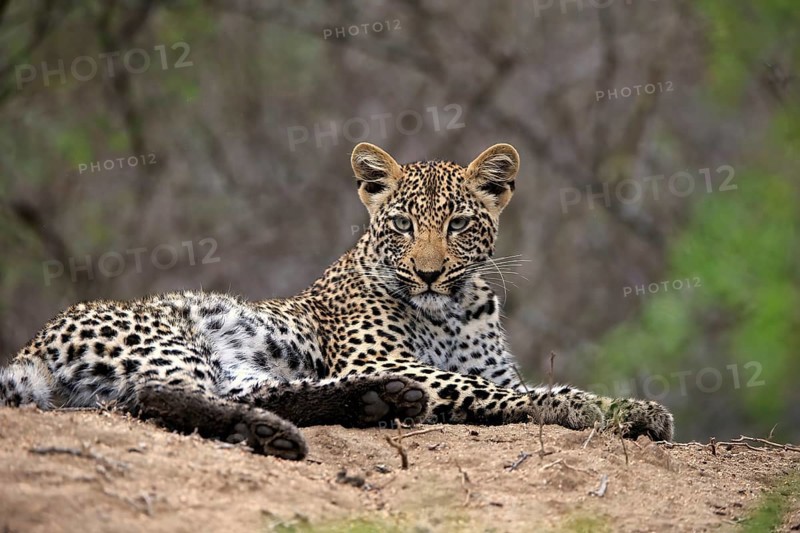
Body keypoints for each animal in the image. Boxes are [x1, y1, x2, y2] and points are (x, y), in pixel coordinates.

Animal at [0, 142, 673, 460]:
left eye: (458, 224)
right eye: (402, 224)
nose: (429, 273)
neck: (455, 308)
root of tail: (32, 347)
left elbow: (505, 382)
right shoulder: (382, 356)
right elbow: (498, 391)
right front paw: (602, 409)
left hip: (235, 366)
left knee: (256, 393)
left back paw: (372, 404)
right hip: (168, 339)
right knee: (152, 399)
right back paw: (279, 432)